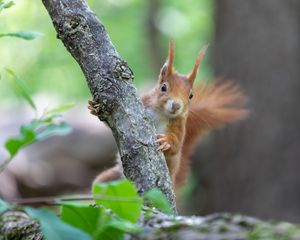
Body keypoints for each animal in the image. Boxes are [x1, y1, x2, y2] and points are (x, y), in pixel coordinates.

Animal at [89, 40, 248, 188]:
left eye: (191, 95)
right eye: (163, 87)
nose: (176, 106)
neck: (161, 113)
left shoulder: (179, 124)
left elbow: (176, 145)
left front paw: (166, 141)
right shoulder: (143, 103)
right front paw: (95, 108)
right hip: (108, 180)